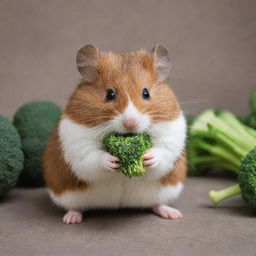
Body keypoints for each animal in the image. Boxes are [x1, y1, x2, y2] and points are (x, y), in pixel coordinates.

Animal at [44, 44, 187, 224]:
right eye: (110, 94)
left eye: (146, 92)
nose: (131, 123)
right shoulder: (78, 143)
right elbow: (93, 157)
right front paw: (112, 160)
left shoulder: (172, 133)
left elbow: (163, 151)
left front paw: (148, 157)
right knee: (76, 207)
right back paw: (71, 219)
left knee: (156, 204)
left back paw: (173, 214)